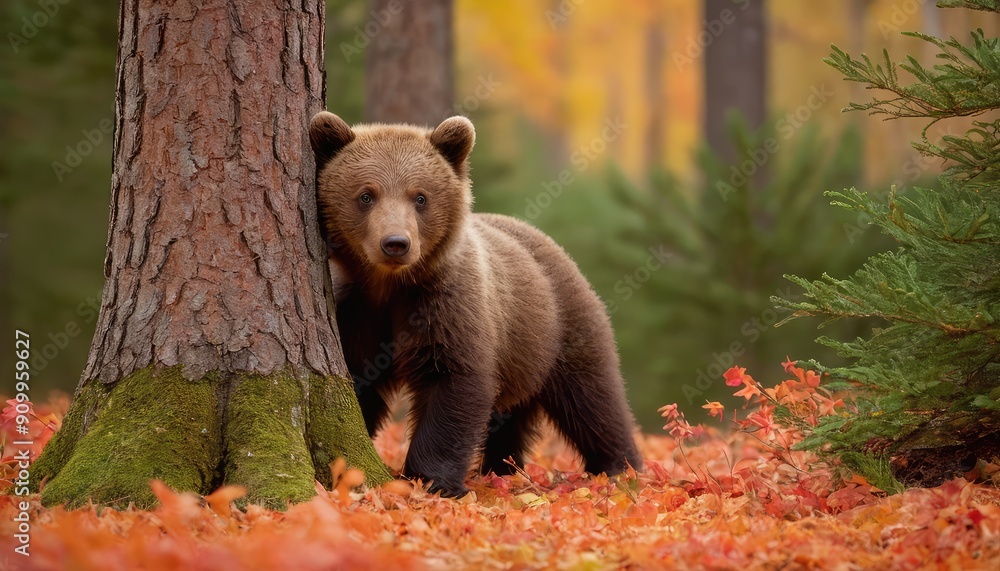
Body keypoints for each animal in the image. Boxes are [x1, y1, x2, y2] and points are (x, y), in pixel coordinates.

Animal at [310, 111, 642, 497]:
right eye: (366, 195)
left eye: (420, 197)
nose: (396, 243)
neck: (390, 286)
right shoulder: (357, 311)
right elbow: (357, 380)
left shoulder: (447, 304)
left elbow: (455, 379)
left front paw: (431, 479)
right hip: (522, 349)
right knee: (514, 414)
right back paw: (502, 467)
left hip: (561, 326)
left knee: (593, 397)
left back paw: (621, 466)